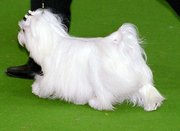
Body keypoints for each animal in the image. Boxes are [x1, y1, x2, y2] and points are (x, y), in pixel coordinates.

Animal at [18, 8, 165, 111]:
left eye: (24, 30)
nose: (19, 34)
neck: (52, 42)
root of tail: (123, 47)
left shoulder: (52, 75)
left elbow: (44, 83)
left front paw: (37, 89)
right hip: (137, 76)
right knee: (147, 89)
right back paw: (153, 104)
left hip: (100, 78)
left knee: (104, 95)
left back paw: (97, 104)